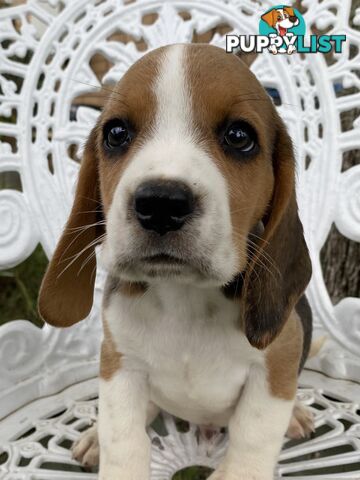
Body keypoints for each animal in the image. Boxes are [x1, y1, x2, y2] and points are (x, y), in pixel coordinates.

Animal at [37, 43, 312, 478]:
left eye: (240, 137)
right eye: (116, 134)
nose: (161, 204)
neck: (185, 297)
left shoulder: (277, 363)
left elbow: (252, 441)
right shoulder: (119, 363)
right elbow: (123, 440)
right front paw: (108, 442)